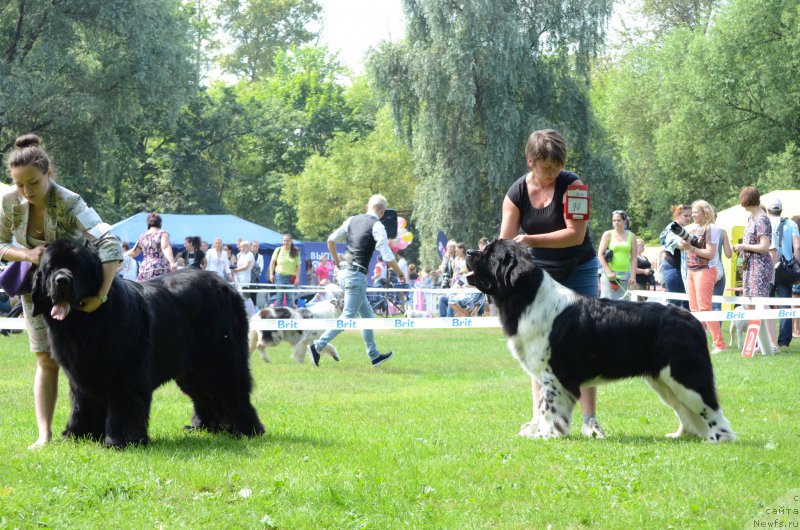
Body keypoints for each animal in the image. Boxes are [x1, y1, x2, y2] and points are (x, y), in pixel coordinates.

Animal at [32, 239, 266, 446]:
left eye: (77, 268)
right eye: (51, 268)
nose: (61, 280)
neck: (87, 322)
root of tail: (227, 286)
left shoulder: (126, 374)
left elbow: (124, 404)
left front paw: (121, 440)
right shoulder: (82, 375)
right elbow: (81, 405)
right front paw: (77, 435)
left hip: (220, 361)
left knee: (233, 390)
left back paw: (247, 430)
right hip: (192, 370)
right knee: (205, 395)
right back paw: (203, 426)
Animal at [466, 239, 736, 442]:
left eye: (488, 253)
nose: (468, 251)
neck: (527, 297)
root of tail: (690, 318)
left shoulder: (553, 376)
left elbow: (548, 408)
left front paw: (545, 434)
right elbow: (541, 406)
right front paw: (536, 431)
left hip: (684, 375)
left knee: (710, 408)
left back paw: (720, 438)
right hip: (663, 381)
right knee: (685, 411)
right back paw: (681, 435)